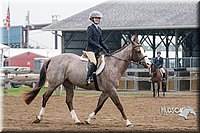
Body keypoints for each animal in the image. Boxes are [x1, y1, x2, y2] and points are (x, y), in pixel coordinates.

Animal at [22, 38, 150, 127]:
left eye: (143, 50)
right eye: (138, 51)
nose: (148, 64)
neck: (114, 65)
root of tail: (52, 58)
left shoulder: (106, 91)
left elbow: (99, 105)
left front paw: (87, 120)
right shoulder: (111, 90)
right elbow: (119, 105)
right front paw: (128, 122)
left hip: (68, 84)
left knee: (69, 101)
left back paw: (77, 121)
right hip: (54, 83)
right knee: (45, 97)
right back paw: (38, 118)